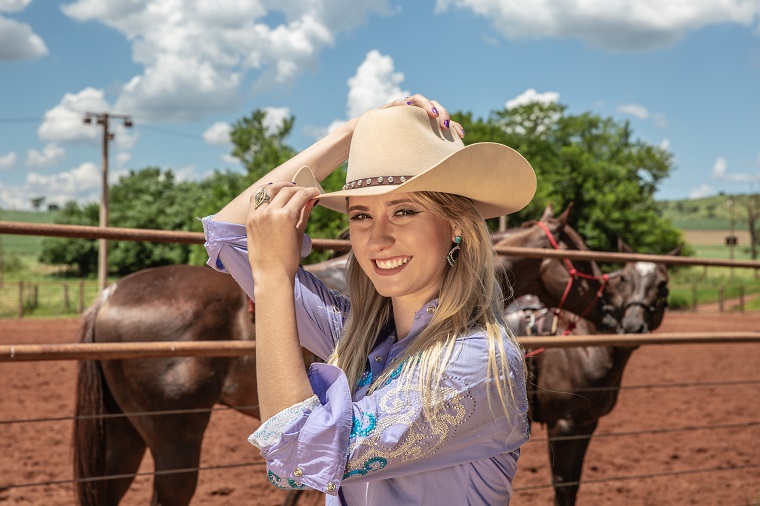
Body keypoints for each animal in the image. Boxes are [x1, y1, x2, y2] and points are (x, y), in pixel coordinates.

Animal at [508, 239, 680, 504]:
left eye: (662, 285)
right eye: (625, 279)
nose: (632, 326)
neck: (585, 345)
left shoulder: (587, 423)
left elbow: (574, 483)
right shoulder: (563, 424)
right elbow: (563, 484)